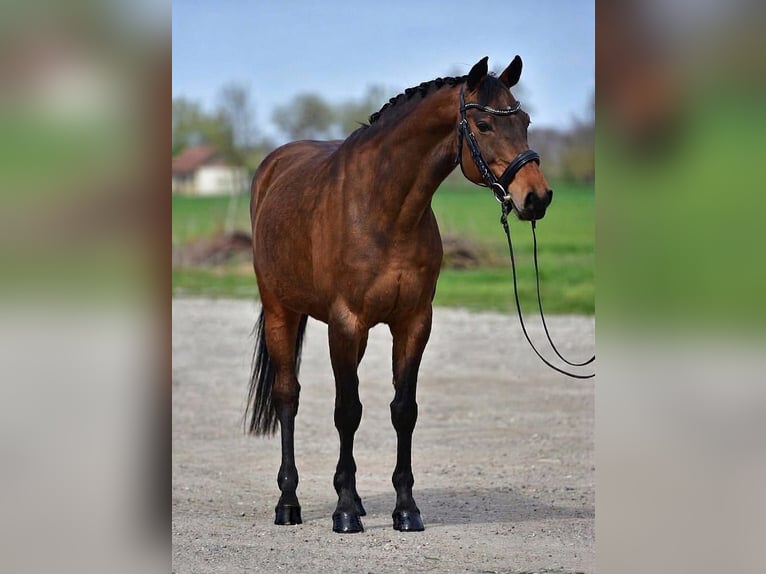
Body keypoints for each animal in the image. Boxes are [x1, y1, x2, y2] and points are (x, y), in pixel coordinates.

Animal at [246, 56, 552, 533]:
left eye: (524, 121)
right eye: (483, 124)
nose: (536, 197)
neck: (382, 208)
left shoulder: (413, 322)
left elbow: (403, 409)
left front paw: (405, 509)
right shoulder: (344, 322)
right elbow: (347, 411)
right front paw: (344, 512)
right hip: (283, 311)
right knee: (287, 398)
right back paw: (289, 503)